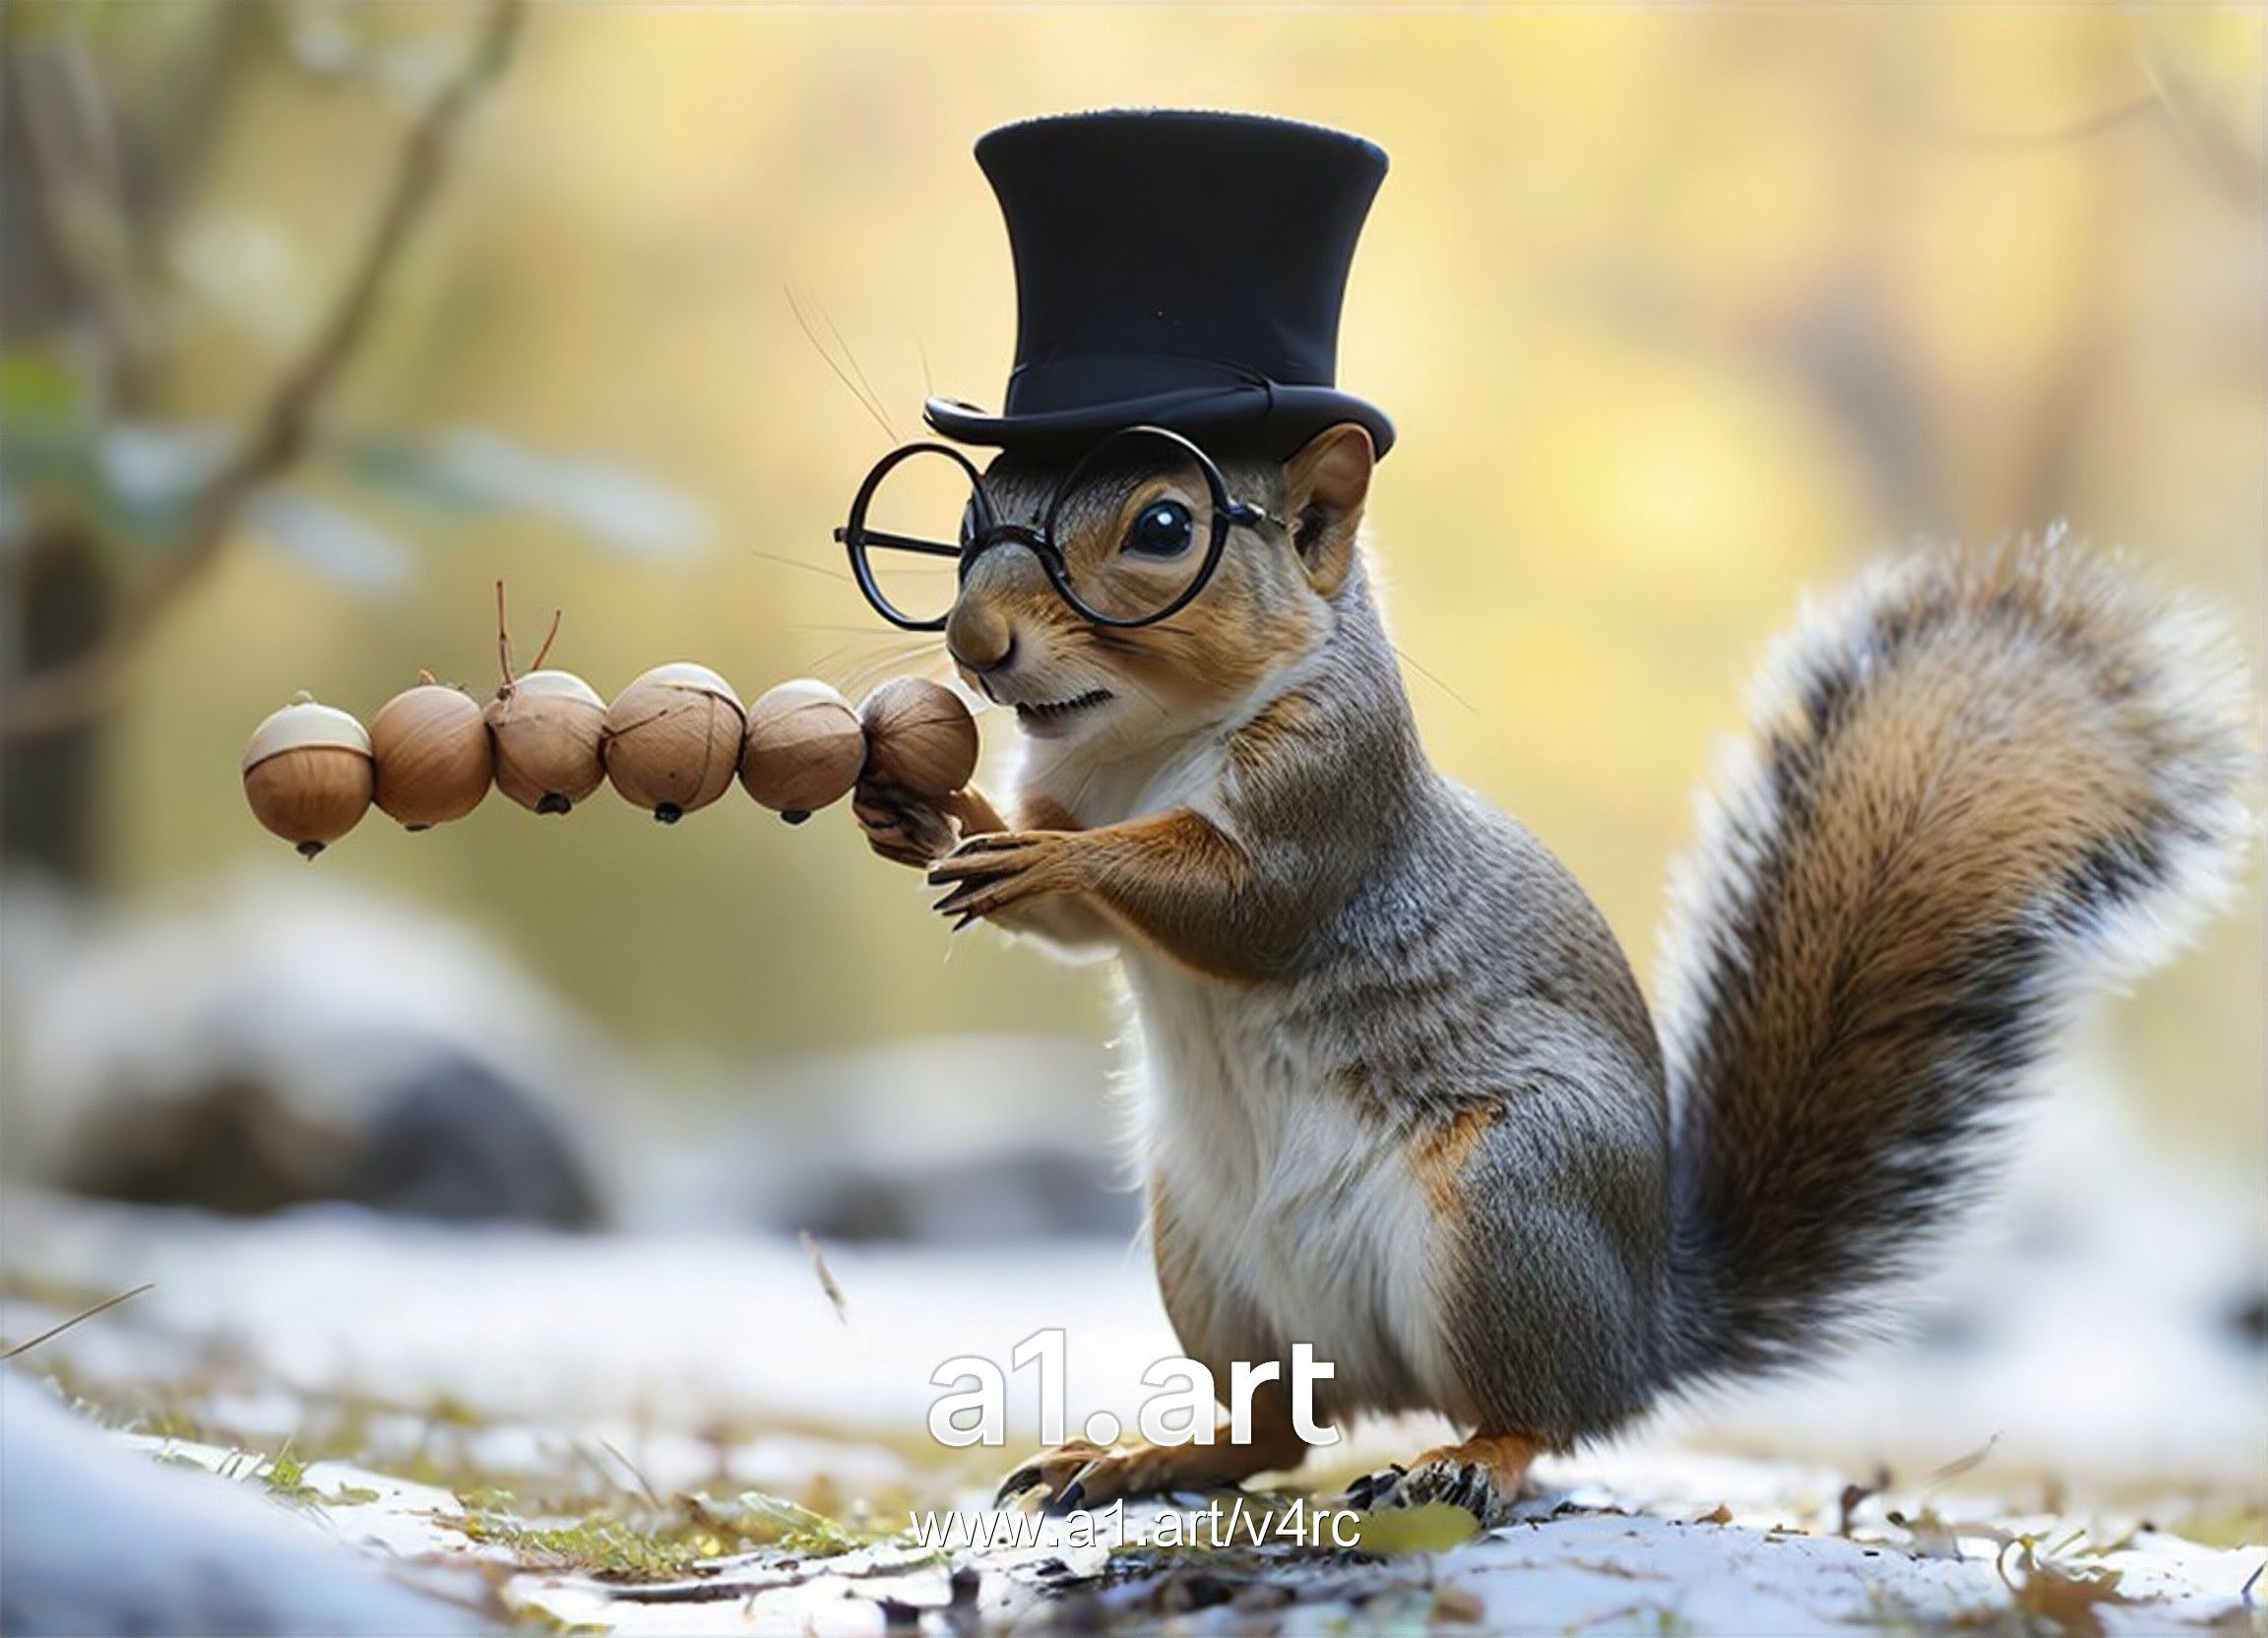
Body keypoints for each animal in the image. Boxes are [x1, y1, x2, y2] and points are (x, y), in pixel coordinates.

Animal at [848, 421, 2249, 1515]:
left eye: (1163, 525)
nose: (974, 641)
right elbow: (1083, 916)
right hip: (1210, 1261)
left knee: (1535, 1416)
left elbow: (1243, 904)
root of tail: (1638, 1332)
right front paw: (924, 811)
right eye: (971, 518)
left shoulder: (1333, 794)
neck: (1143, 748)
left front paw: (1052, 855)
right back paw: (1152, 1456)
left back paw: (1467, 1460)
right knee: (1277, 1431)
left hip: (1508, 1211)